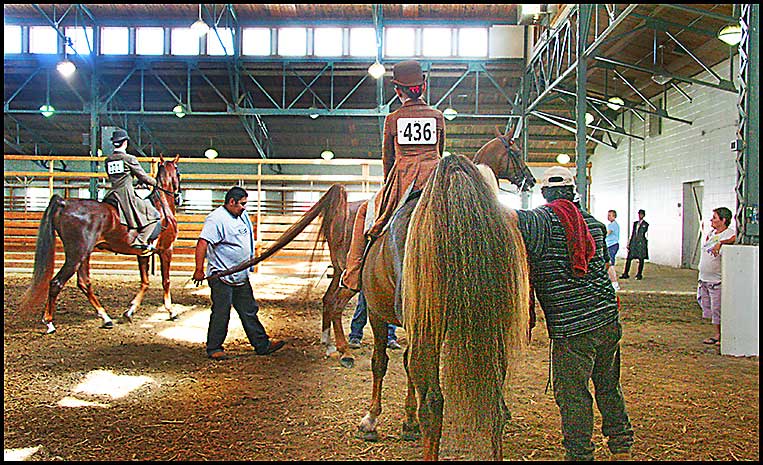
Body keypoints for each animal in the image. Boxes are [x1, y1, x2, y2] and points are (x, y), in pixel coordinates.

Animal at [20, 156, 182, 334]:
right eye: (178, 173)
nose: (178, 197)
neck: (161, 206)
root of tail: (64, 204)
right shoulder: (166, 250)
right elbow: (166, 281)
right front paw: (171, 311)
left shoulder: (143, 254)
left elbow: (145, 283)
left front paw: (129, 311)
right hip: (76, 256)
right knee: (57, 283)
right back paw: (49, 323)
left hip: (84, 255)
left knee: (84, 283)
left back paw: (106, 318)